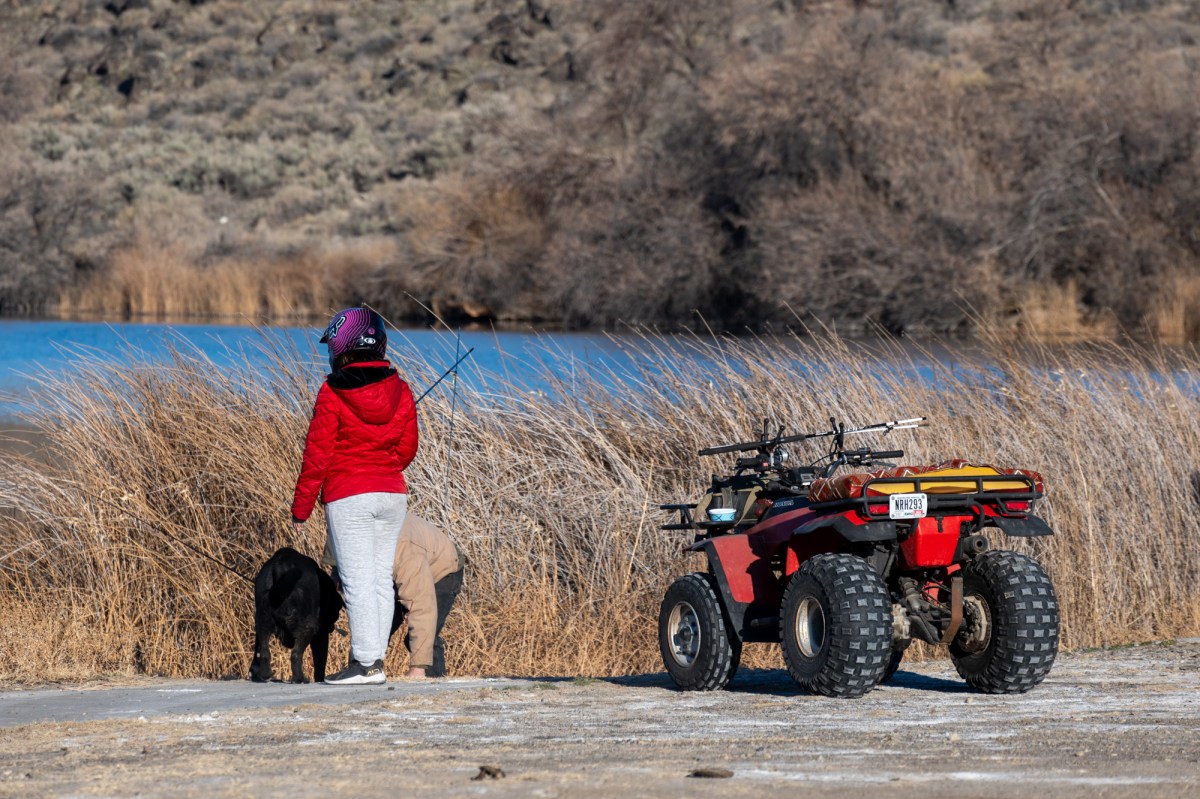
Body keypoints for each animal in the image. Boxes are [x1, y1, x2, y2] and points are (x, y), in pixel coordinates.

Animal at [249, 547, 344, 683]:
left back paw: (265, 674)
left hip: (263, 620)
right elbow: (320, 663)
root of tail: (281, 565)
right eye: (336, 612)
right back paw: (299, 678)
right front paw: (319, 680)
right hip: (308, 627)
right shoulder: (321, 634)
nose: (332, 627)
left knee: (264, 651)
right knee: (295, 655)